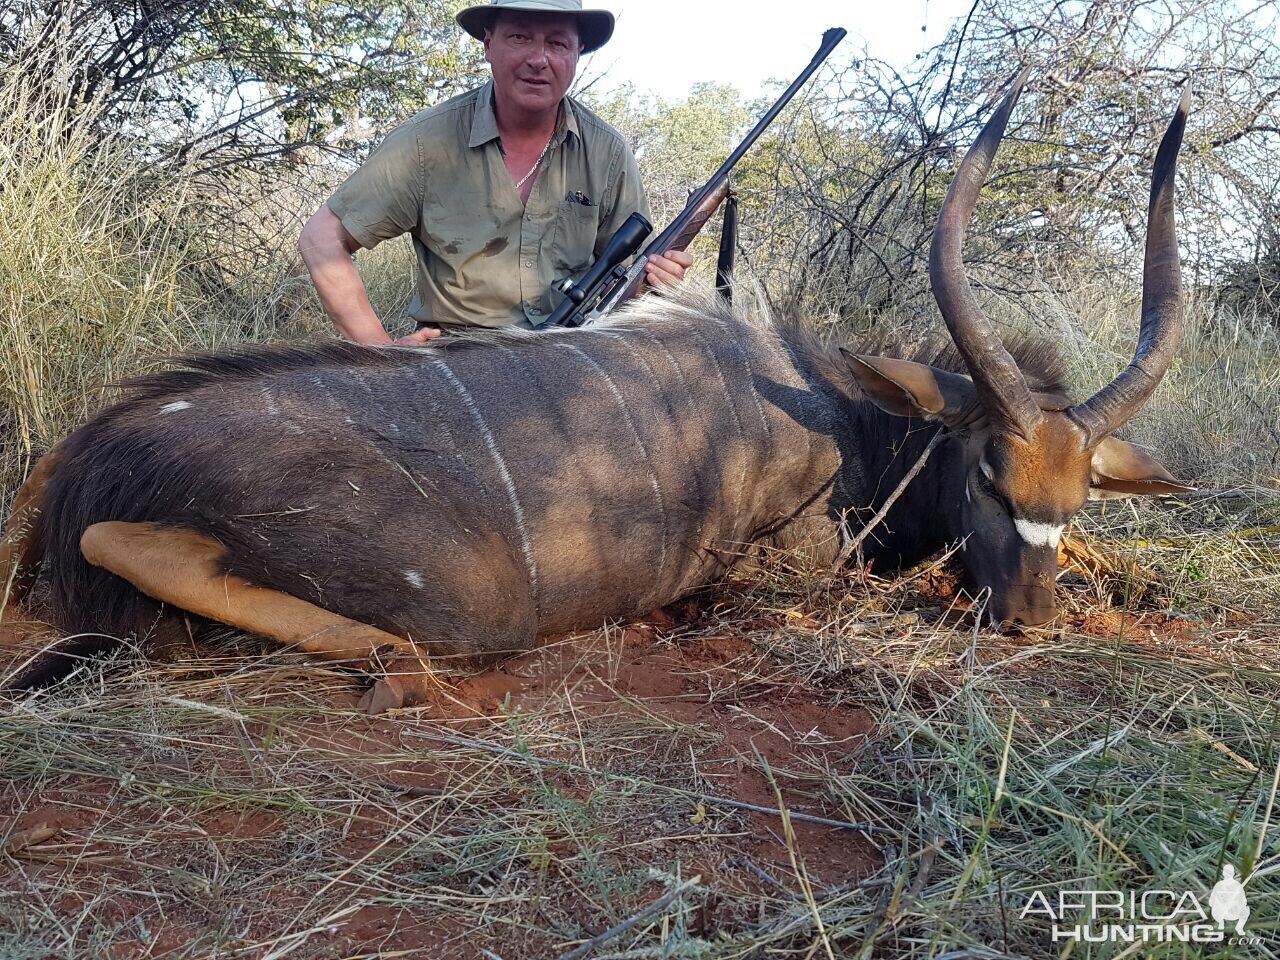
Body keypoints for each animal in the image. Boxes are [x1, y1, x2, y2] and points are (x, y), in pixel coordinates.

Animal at [0, 79, 1192, 711]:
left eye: (1079, 494)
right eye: (985, 474)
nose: (1031, 620)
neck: (844, 411)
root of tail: (113, 448)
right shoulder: (797, 564)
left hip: (61, 472)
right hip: (464, 600)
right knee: (149, 551)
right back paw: (394, 663)